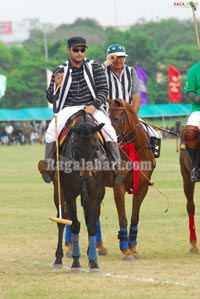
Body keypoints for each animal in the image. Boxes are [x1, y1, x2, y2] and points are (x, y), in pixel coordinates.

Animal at [52, 110, 107, 274]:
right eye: (76, 145)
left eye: (95, 145)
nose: (86, 176)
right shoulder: (69, 192)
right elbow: (74, 224)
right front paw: (76, 263)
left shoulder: (96, 192)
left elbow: (92, 224)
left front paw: (94, 262)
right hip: (58, 190)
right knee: (61, 220)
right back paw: (58, 259)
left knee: (90, 218)